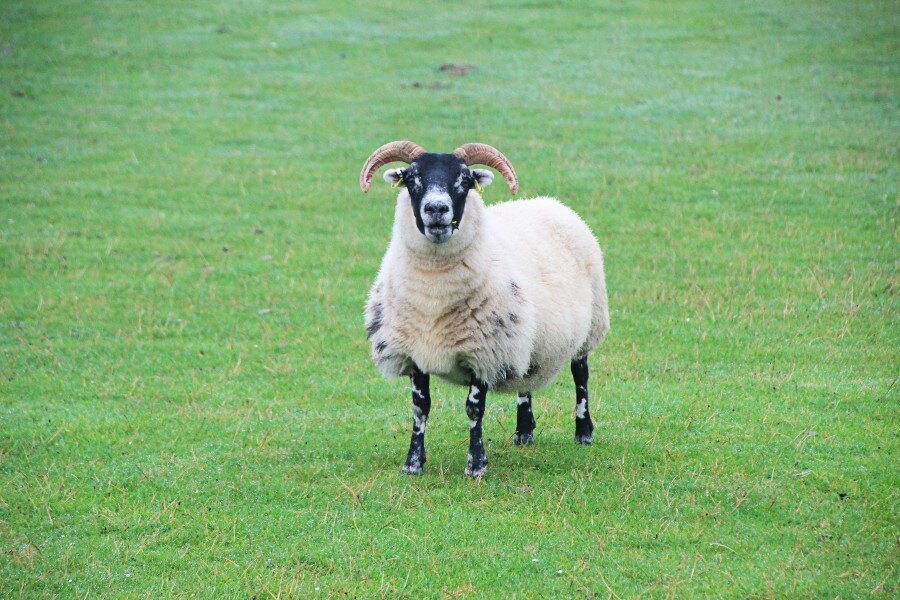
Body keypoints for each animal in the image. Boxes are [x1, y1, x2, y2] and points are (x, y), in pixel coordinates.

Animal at [359, 141, 609, 477]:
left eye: (464, 181)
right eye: (412, 179)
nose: (436, 209)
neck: (434, 298)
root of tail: (548, 202)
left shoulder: (483, 351)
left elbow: (474, 409)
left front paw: (476, 465)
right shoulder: (415, 352)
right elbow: (420, 408)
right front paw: (413, 463)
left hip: (589, 325)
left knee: (581, 376)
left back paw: (583, 431)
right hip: (525, 336)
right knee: (525, 381)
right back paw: (523, 432)